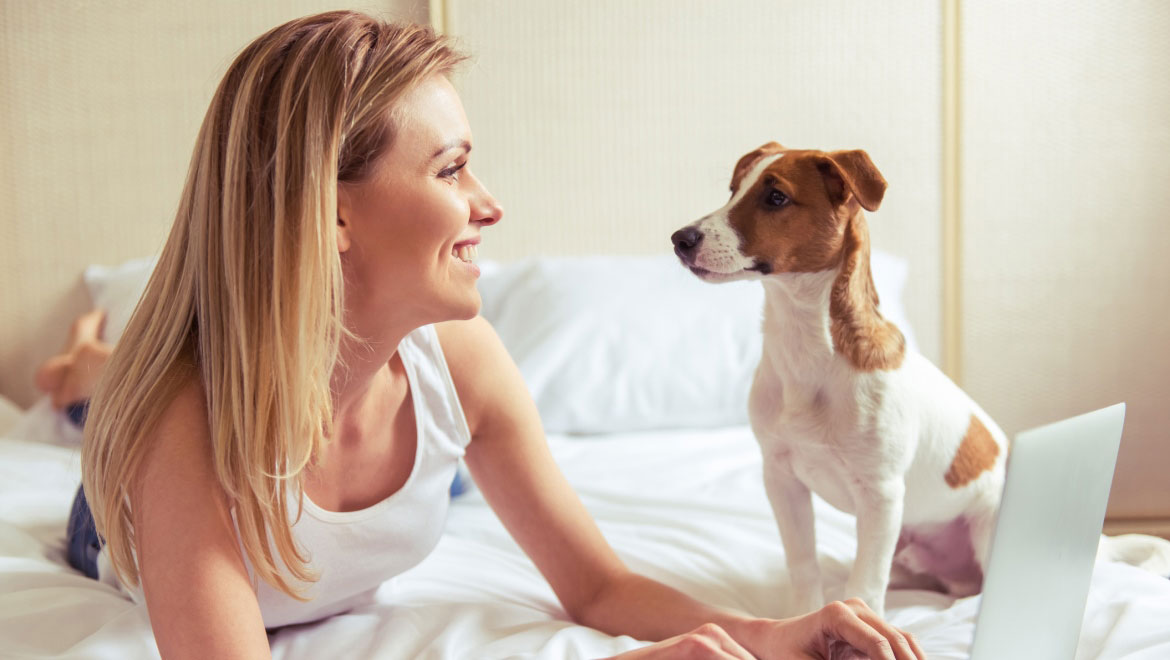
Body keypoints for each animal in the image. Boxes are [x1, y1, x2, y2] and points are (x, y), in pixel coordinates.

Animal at [673, 141, 1010, 617]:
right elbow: (803, 563)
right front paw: (804, 616)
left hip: (984, 525)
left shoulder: (880, 495)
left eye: (775, 197)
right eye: (734, 190)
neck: (808, 351)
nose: (679, 239)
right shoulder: (781, 478)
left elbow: (865, 586)